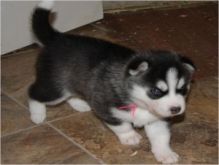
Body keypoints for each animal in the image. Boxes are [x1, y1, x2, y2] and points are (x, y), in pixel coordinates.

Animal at [28, 0, 195, 164]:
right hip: (54, 89)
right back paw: (37, 115)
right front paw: (130, 136)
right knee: (33, 92)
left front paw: (165, 153)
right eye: (155, 91)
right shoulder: (105, 108)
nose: (176, 109)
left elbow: (161, 136)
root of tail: (57, 38)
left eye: (183, 90)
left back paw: (79, 104)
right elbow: (122, 125)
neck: (138, 101)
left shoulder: (158, 119)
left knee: (72, 93)